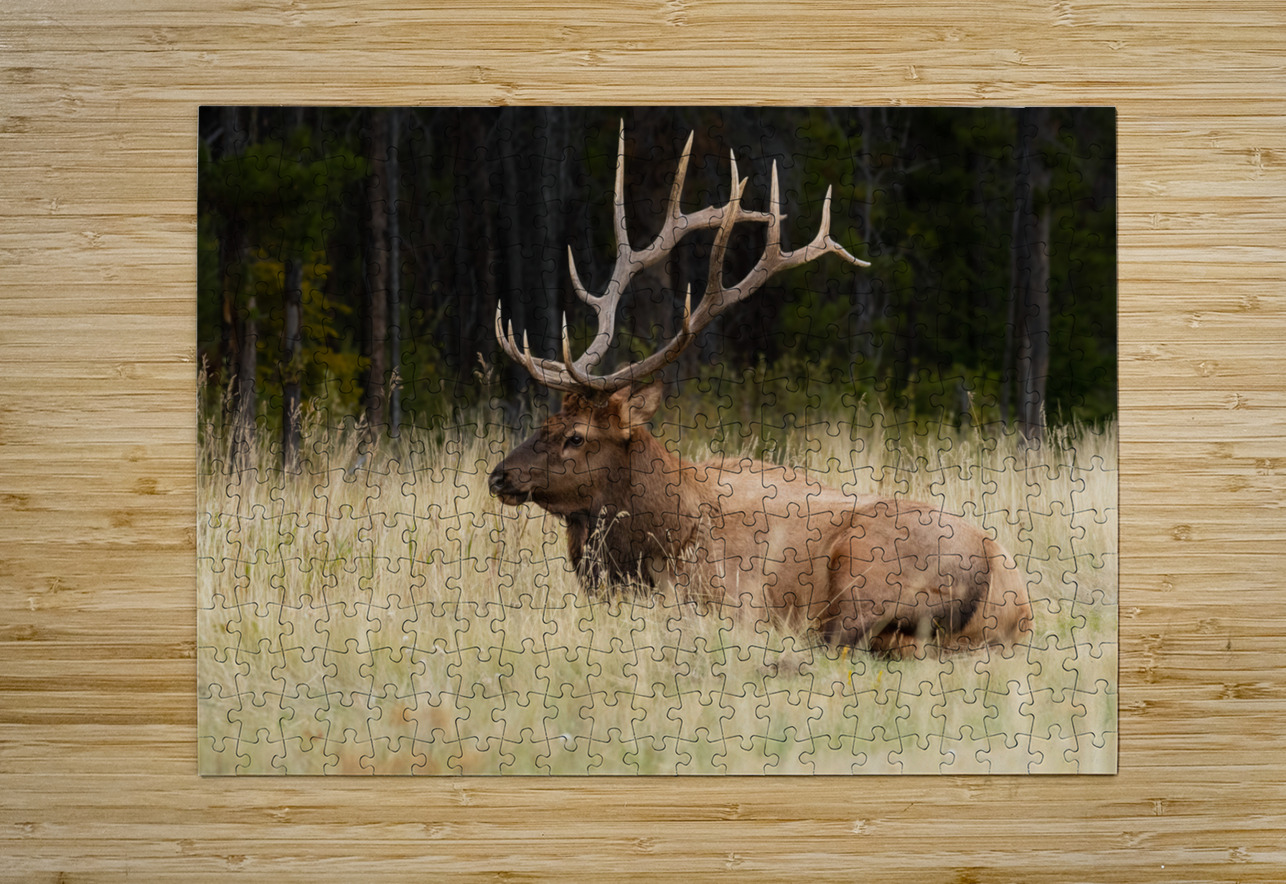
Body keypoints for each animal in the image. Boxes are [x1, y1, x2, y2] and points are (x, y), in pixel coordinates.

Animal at [488, 122, 1033, 657]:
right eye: (545, 422)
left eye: (576, 436)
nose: (499, 475)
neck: (656, 536)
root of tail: (1005, 588)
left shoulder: (721, 596)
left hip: (866, 569)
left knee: (842, 638)